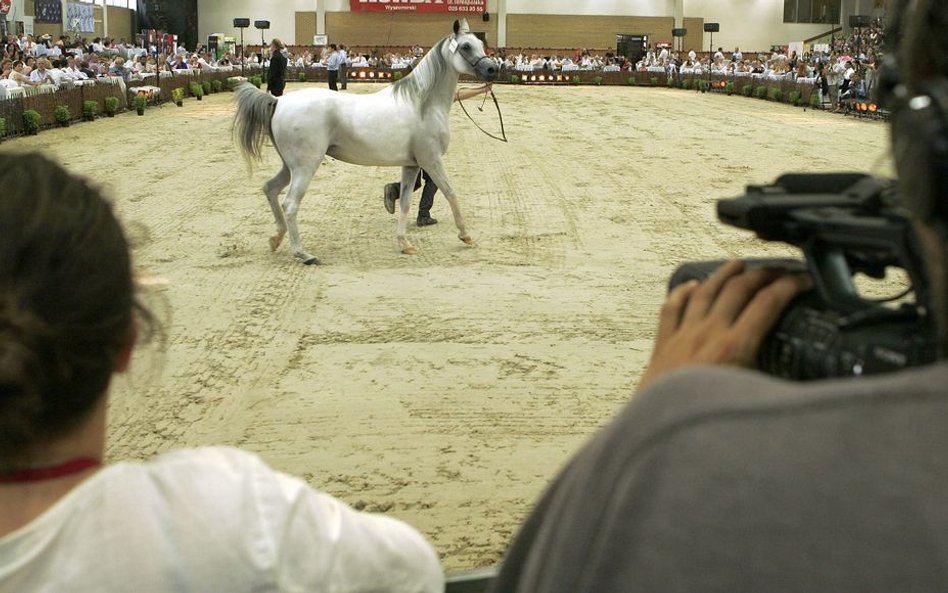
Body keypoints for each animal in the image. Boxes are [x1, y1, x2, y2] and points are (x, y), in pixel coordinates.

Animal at [234, 19, 500, 264]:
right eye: (465, 46)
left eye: (480, 44)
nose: (492, 71)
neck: (422, 103)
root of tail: (278, 101)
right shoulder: (431, 161)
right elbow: (450, 193)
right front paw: (466, 236)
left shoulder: (412, 165)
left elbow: (405, 202)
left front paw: (404, 244)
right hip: (305, 166)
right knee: (290, 204)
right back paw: (304, 254)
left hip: (290, 166)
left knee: (270, 189)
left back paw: (276, 238)